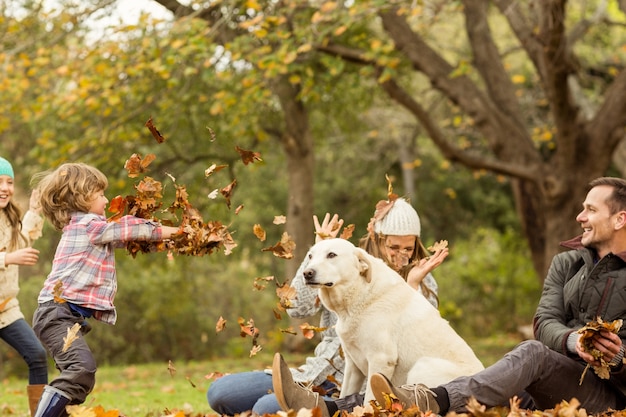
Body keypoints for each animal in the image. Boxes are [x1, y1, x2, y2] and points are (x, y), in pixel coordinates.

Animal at [302, 237, 482, 404]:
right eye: (310, 256)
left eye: (332, 255)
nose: (307, 273)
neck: (358, 296)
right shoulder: (353, 366)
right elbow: (345, 394)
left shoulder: (381, 359)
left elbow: (369, 400)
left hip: (421, 366)